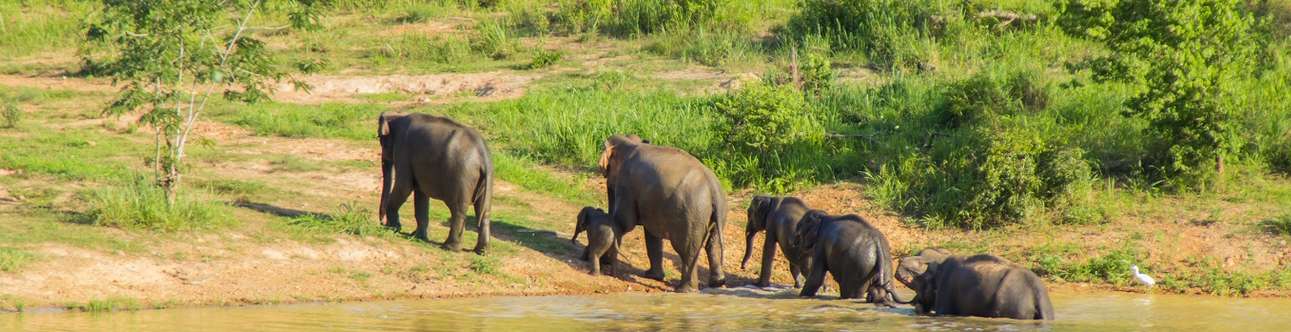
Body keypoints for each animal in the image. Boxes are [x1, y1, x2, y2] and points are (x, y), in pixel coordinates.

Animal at [376, 111, 493, 253]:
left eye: (380, 139)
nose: (382, 222)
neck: (398, 116)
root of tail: (483, 155)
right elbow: (420, 194)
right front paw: (417, 236)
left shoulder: (402, 150)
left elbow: (405, 186)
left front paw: (393, 228)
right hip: (484, 180)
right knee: (483, 210)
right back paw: (481, 251)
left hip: (462, 175)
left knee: (458, 209)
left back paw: (449, 247)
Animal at [596, 134, 728, 291]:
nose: (606, 264)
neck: (629, 143)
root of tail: (713, 186)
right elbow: (652, 235)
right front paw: (653, 276)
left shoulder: (626, 183)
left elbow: (624, 222)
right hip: (717, 212)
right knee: (712, 244)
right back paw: (717, 283)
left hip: (691, 214)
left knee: (687, 250)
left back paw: (684, 290)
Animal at [898, 246, 1058, 319]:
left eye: (917, 285)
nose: (915, 306)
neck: (941, 258)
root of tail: (1037, 294)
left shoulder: (946, 289)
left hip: (1013, 307)